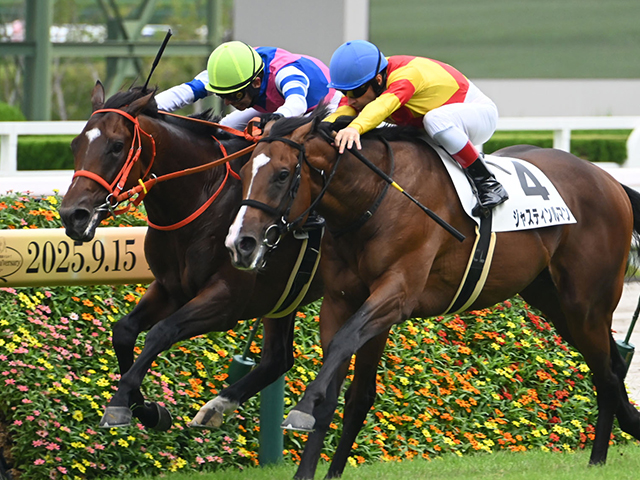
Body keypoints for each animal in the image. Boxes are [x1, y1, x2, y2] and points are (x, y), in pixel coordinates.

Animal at [59, 81, 324, 432]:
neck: (202, 199)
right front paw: (148, 410)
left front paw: (120, 404)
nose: (72, 215)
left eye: (117, 146)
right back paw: (217, 407)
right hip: (284, 298)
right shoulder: (170, 288)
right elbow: (124, 332)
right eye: (75, 144)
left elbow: (161, 332)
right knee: (278, 358)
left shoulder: (227, 299)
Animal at [225, 105, 640, 479]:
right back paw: (617, 435)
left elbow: (343, 348)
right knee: (611, 365)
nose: (241, 243)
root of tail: (608, 180)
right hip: (555, 302)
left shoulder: (397, 293)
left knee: (606, 373)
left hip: (587, 304)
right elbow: (344, 386)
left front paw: (303, 407)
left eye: (282, 175)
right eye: (243, 171)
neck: (373, 197)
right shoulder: (344, 301)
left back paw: (601, 456)